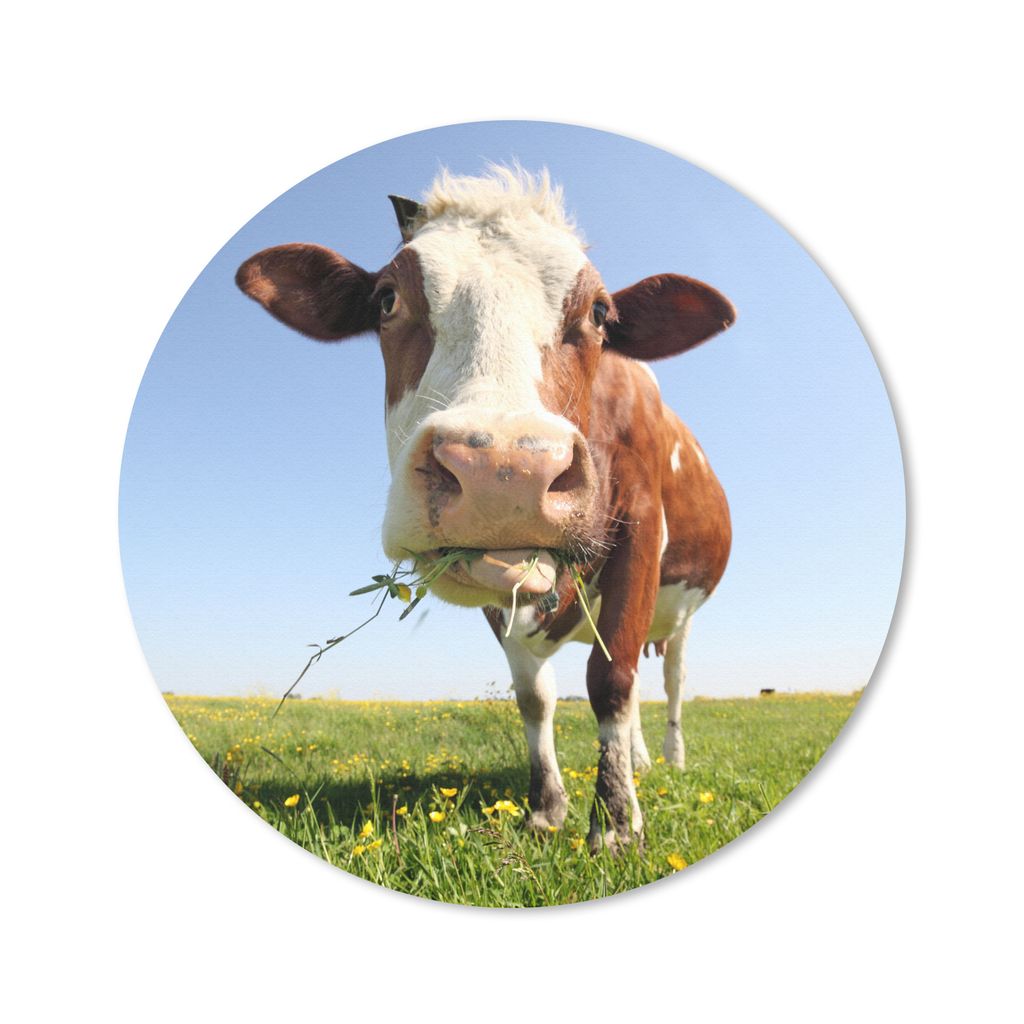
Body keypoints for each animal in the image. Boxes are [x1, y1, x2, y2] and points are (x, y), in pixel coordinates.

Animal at [236, 167, 734, 851]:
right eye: (386, 299)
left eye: (600, 313)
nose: (504, 471)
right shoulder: (499, 581)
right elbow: (535, 696)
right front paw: (548, 808)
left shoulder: (639, 529)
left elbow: (611, 681)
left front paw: (614, 824)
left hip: (681, 612)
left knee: (667, 680)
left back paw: (668, 761)